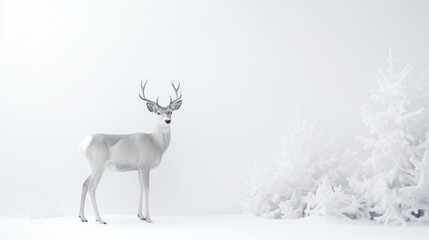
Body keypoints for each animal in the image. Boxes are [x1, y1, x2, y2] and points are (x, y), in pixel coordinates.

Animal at [78, 81, 182, 224]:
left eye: (170, 111)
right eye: (158, 112)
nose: (167, 121)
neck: (155, 143)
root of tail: (82, 144)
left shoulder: (138, 168)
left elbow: (141, 189)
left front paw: (141, 216)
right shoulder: (145, 165)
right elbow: (147, 189)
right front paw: (149, 218)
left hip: (92, 167)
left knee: (84, 184)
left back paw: (82, 217)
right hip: (98, 165)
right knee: (92, 188)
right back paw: (100, 219)